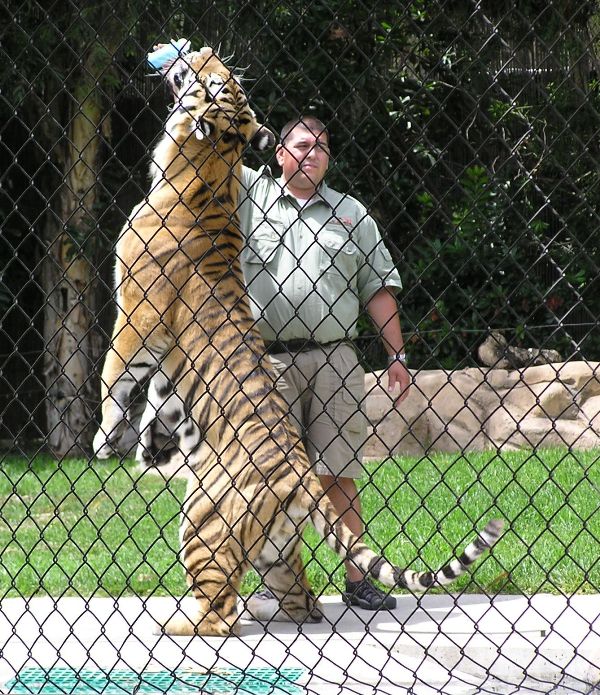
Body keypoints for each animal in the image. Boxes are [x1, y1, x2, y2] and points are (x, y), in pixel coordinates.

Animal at [94, 43, 504, 640]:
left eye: (219, 83)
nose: (205, 49)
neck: (207, 170)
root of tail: (302, 477)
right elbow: (153, 400)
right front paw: (145, 443)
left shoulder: (138, 318)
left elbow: (114, 374)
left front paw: (104, 438)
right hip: (276, 551)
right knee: (301, 602)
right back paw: (265, 609)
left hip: (201, 523)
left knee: (220, 614)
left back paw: (171, 624)